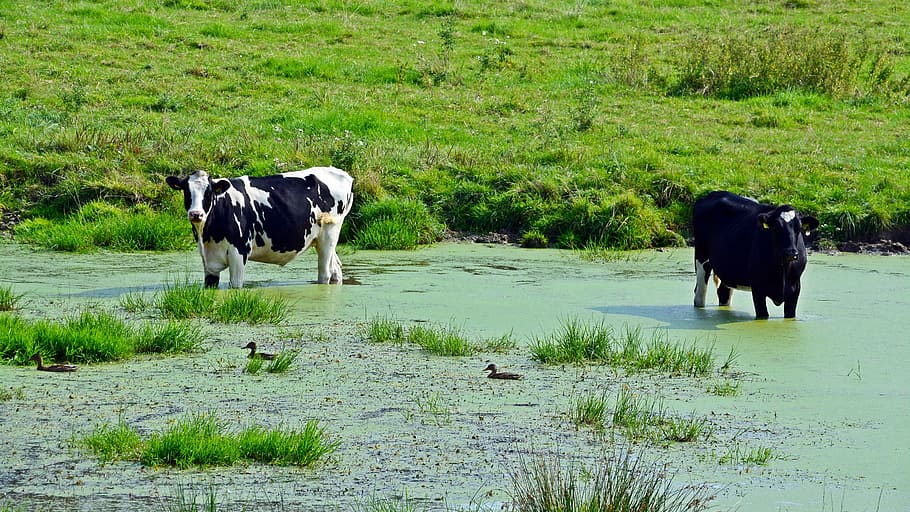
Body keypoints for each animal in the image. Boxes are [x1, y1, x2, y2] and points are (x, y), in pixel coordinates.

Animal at [166, 167, 354, 288]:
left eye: (209, 192)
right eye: (186, 191)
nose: (196, 214)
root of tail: (343, 174)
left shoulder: (239, 251)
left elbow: (236, 285)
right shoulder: (207, 259)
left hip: (329, 234)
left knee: (325, 274)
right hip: (322, 239)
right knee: (335, 270)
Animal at [692, 191, 819, 319]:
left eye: (799, 228)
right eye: (776, 227)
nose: (791, 252)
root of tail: (714, 193)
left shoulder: (795, 289)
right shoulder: (758, 288)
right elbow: (763, 315)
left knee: (723, 293)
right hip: (701, 255)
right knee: (699, 294)